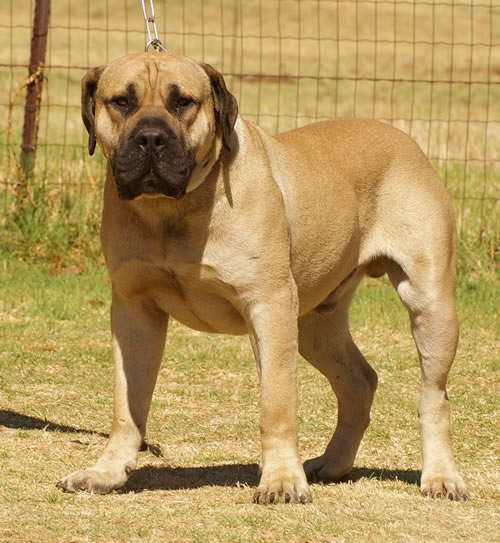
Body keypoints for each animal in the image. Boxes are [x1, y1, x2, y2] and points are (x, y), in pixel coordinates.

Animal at [57, 53, 468, 504]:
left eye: (183, 102)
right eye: (121, 102)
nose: (150, 138)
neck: (171, 211)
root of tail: (407, 142)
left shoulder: (269, 306)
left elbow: (276, 404)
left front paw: (282, 481)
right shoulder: (134, 311)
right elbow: (126, 405)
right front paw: (106, 472)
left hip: (428, 304)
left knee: (434, 396)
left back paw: (442, 477)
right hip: (315, 325)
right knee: (359, 381)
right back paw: (333, 463)